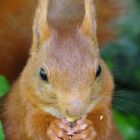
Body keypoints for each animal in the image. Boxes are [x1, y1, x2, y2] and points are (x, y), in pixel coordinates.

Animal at [0, 0, 122, 140]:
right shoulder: (27, 107)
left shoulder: (104, 103)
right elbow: (34, 126)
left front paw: (89, 129)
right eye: (42, 74)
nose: (76, 110)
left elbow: (104, 124)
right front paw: (54, 128)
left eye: (99, 70)